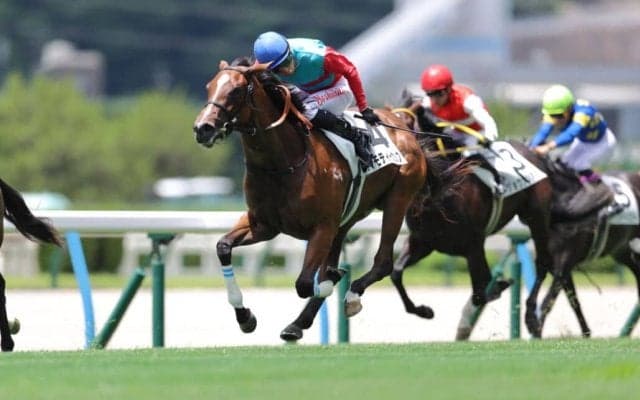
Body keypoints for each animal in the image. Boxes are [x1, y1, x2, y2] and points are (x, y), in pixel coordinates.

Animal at [192, 59, 427, 335]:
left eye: (236, 91)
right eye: (209, 87)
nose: (203, 128)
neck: (282, 164)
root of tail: (400, 121)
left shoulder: (322, 227)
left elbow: (305, 283)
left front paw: (337, 280)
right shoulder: (263, 225)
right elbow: (223, 247)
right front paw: (245, 316)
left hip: (397, 200)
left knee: (382, 263)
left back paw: (351, 297)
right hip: (345, 221)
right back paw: (297, 324)